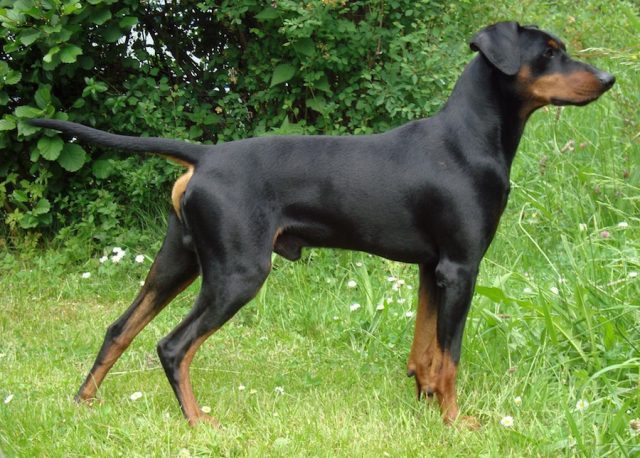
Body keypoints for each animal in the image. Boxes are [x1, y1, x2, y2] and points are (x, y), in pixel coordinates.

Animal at [31, 22, 616, 426]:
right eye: (548, 52)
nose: (610, 78)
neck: (468, 139)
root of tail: (206, 155)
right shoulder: (461, 268)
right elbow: (449, 358)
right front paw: (455, 423)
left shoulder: (432, 270)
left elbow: (425, 354)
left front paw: (425, 410)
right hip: (238, 274)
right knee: (174, 347)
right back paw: (199, 423)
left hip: (179, 262)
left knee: (119, 329)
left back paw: (83, 402)